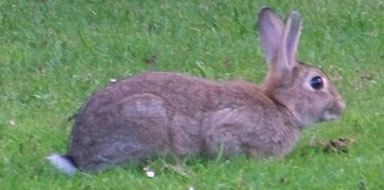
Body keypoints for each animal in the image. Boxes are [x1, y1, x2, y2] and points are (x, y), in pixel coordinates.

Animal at [47, 6, 344, 174]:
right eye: (317, 82)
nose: (341, 108)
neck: (281, 105)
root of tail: (77, 155)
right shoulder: (228, 127)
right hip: (147, 118)